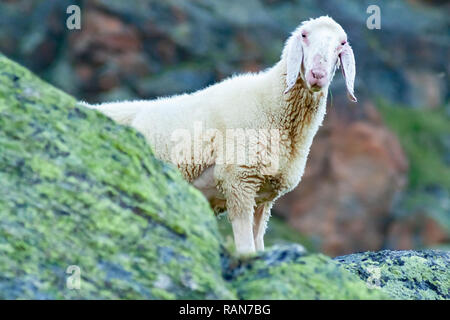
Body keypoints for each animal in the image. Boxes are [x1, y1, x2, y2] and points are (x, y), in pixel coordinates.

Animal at [81, 15, 356, 255]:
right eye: (304, 35)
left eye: (341, 43)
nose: (318, 75)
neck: (271, 105)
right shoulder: (239, 182)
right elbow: (246, 248)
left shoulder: (264, 196)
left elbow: (258, 245)